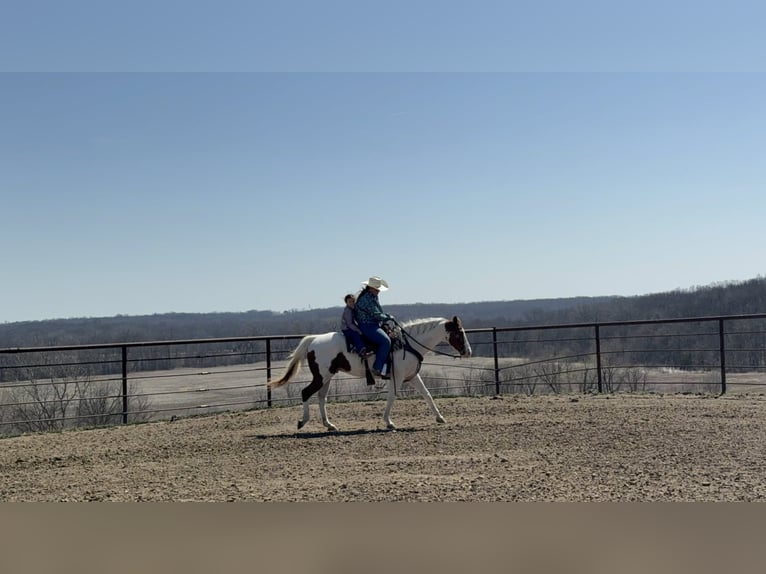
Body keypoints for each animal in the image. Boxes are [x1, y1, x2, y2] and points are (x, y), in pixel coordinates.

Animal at [268, 316, 472, 431]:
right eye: (459, 333)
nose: (468, 352)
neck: (407, 344)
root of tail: (313, 340)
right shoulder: (397, 377)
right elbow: (392, 397)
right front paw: (389, 422)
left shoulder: (412, 376)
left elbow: (427, 395)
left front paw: (440, 418)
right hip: (321, 376)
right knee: (306, 393)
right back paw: (303, 422)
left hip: (327, 377)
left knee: (321, 398)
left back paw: (329, 425)